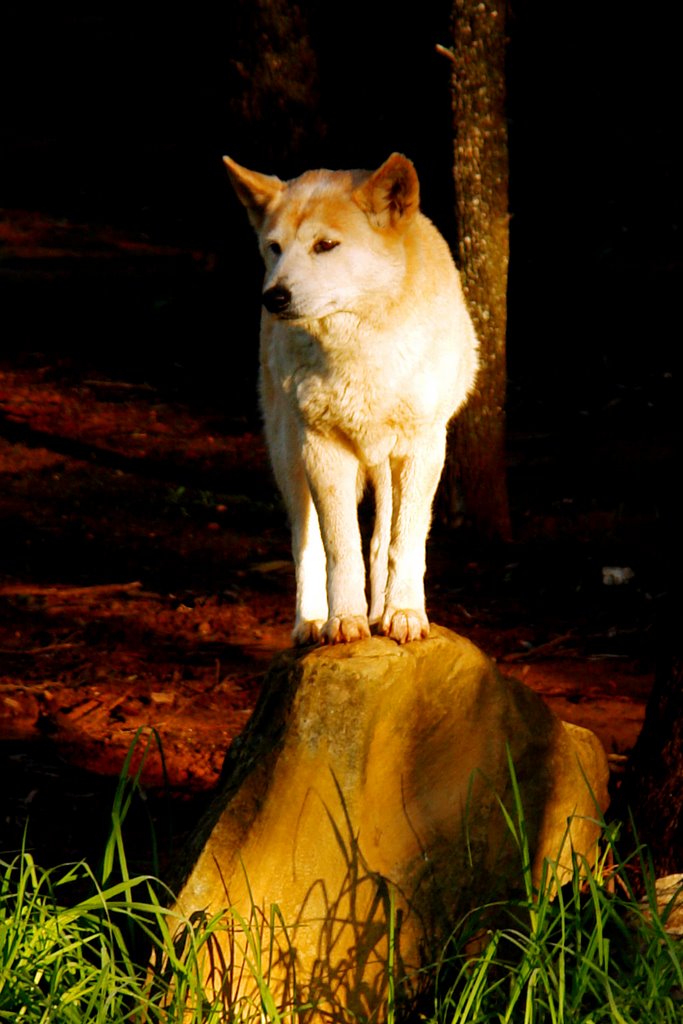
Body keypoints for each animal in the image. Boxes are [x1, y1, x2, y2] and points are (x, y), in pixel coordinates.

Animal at [227, 152, 479, 643]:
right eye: (275, 247)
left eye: (325, 245)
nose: (274, 297)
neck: (361, 354)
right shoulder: (322, 448)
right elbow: (340, 549)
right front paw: (344, 622)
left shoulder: (423, 448)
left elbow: (404, 543)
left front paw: (405, 614)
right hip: (289, 456)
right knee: (306, 545)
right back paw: (311, 624)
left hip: (386, 463)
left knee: (381, 542)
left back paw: (382, 612)